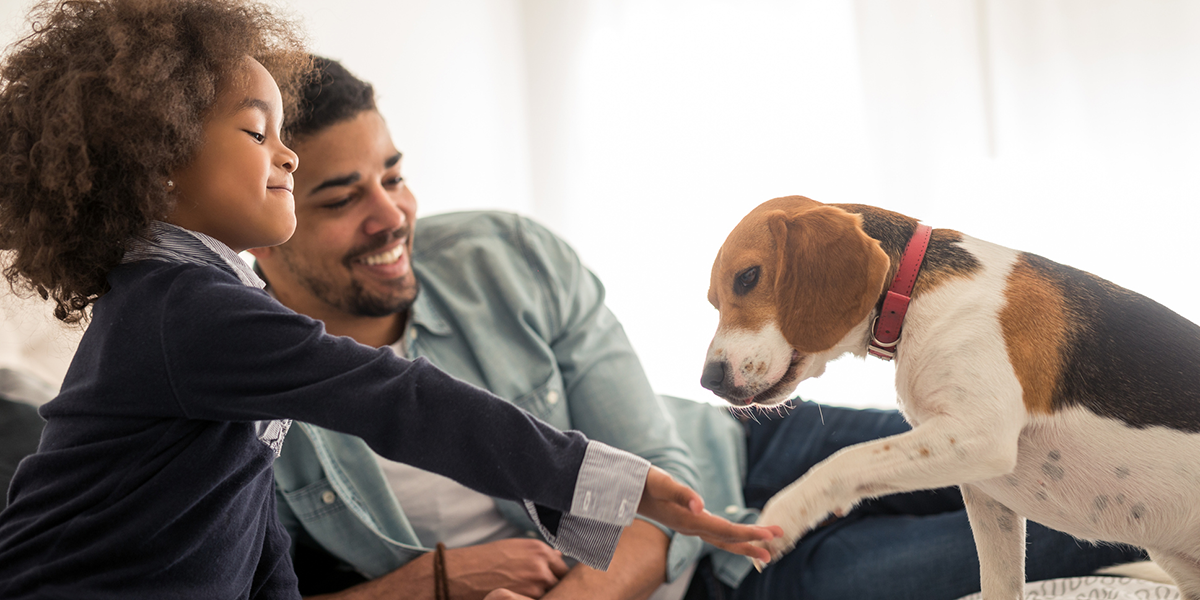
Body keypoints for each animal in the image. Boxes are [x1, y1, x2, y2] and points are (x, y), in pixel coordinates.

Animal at [700, 195, 1200, 595]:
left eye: (748, 277)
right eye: (713, 303)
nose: (709, 380)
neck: (912, 291)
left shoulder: (980, 435)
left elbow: (845, 459)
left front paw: (785, 514)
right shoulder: (986, 492)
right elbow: (998, 585)